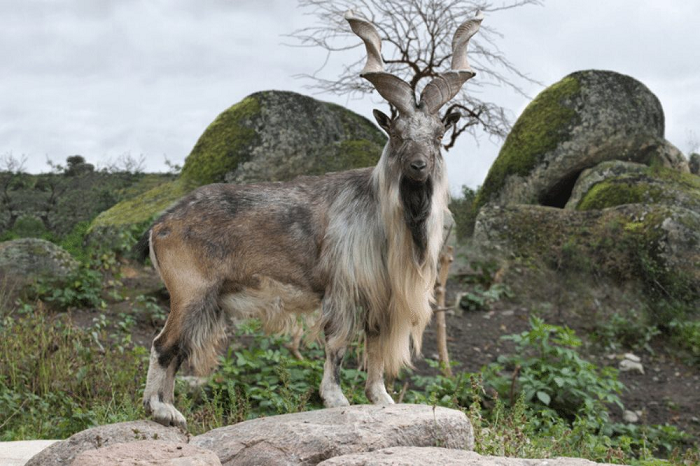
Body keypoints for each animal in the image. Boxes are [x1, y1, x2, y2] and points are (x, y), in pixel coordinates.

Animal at [140, 10, 484, 428]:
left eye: (437, 135)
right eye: (398, 134)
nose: (418, 166)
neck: (386, 218)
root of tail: (161, 225)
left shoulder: (380, 299)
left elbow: (373, 346)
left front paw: (381, 398)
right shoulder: (343, 289)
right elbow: (337, 343)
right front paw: (336, 399)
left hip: (204, 302)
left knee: (177, 350)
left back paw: (171, 411)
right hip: (190, 293)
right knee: (163, 345)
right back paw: (160, 409)